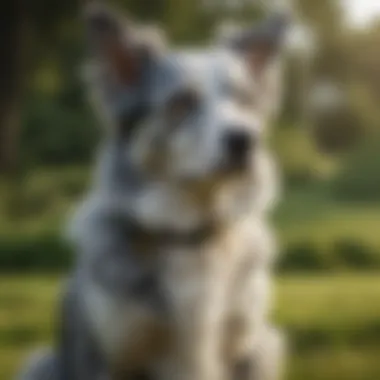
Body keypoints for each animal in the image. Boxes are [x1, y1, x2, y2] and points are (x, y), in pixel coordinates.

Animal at [16, 2, 290, 380]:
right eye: (182, 103)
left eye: (244, 100)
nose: (245, 140)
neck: (189, 235)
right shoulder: (109, 357)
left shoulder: (251, 347)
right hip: (40, 362)